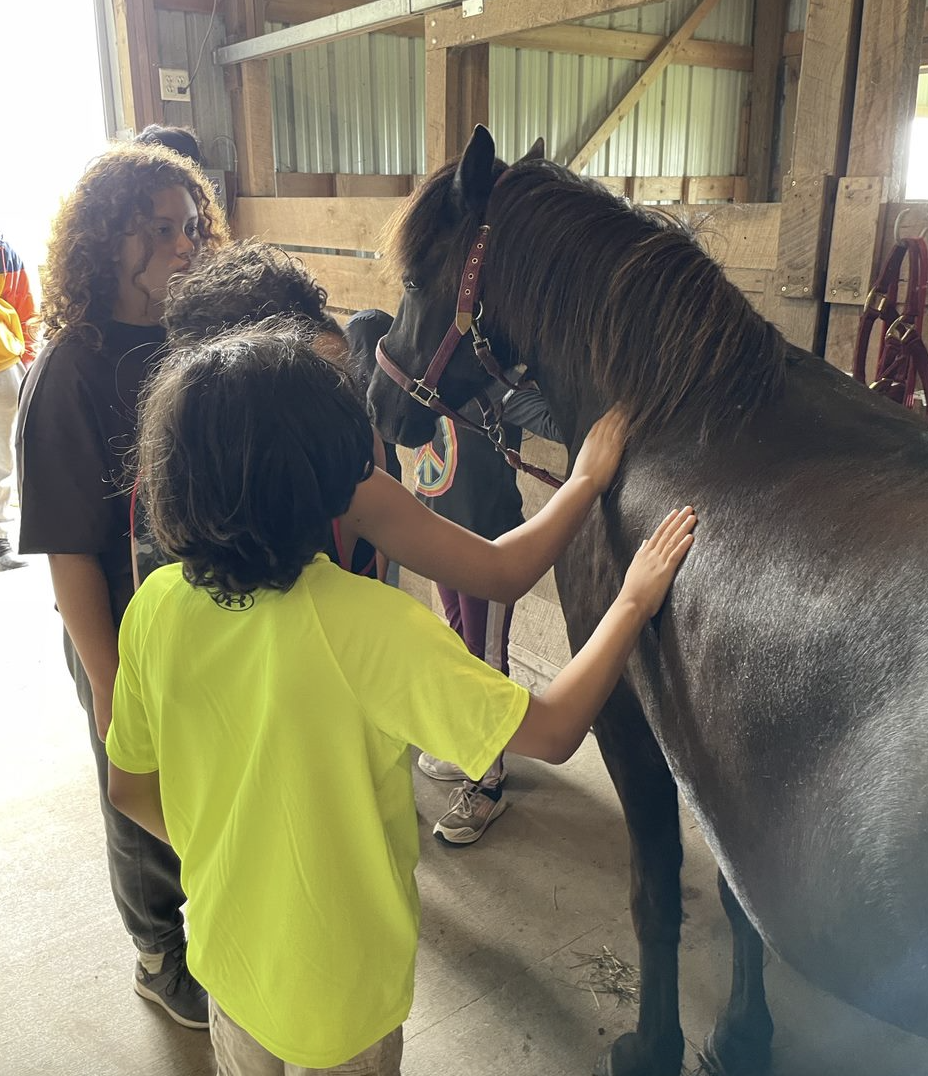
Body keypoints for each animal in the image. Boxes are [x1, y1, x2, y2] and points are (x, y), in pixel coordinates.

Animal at [366, 125, 928, 1076]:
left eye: (412, 284)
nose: (378, 405)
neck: (679, 415)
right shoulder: (723, 767)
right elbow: (735, 903)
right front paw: (741, 1036)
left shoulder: (628, 718)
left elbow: (658, 893)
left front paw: (656, 1044)